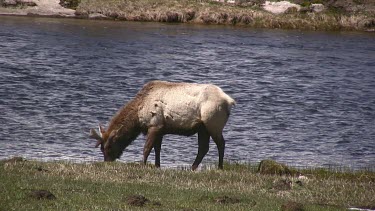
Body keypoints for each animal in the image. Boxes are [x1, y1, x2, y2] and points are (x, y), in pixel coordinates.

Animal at [89, 80, 235, 170]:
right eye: (101, 149)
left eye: (108, 147)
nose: (106, 162)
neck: (138, 116)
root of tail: (229, 101)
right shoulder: (161, 129)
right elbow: (157, 149)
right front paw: (157, 166)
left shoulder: (155, 125)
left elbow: (147, 148)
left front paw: (143, 164)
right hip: (202, 127)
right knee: (204, 148)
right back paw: (192, 168)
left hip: (213, 123)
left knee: (221, 143)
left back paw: (220, 167)